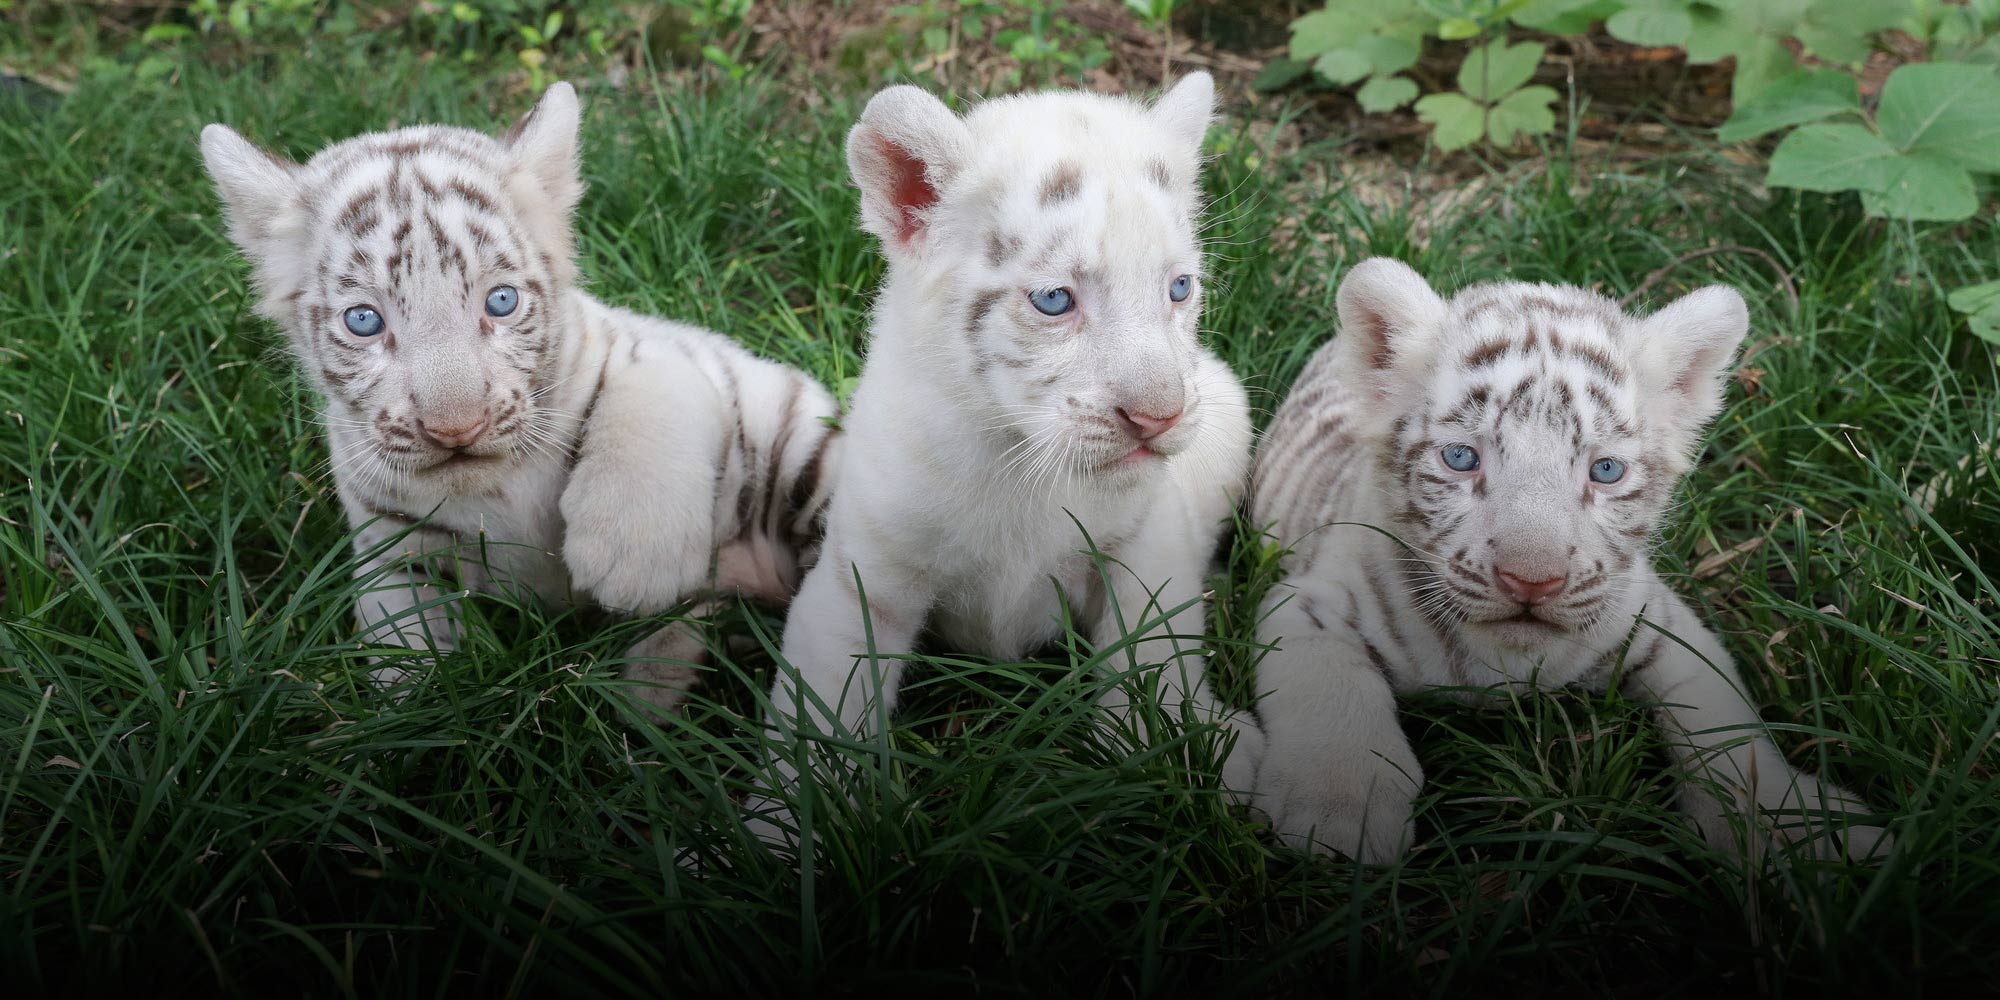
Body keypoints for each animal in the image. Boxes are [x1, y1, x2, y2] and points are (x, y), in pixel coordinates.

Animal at [199, 82, 838, 713]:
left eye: (500, 302)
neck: (495, 488)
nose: (456, 429)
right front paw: (409, 715)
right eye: (364, 321)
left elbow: (648, 397)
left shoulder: (656, 347)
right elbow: (400, 639)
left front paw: (633, 560)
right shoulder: (392, 549)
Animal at [744, 73, 1262, 844]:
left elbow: (1154, 664)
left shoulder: (1145, 550)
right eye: (1053, 300)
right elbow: (820, 707)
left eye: (1179, 288)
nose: (1159, 417)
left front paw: (1188, 761)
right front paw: (776, 833)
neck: (1021, 457)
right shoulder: (865, 576)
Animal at [1248, 257, 1893, 865]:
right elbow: (1332, 695)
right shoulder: (1309, 605)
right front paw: (1341, 812)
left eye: (1605, 470)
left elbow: (1726, 725)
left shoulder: (1660, 621)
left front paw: (1791, 827)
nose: (1531, 582)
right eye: (1461, 458)